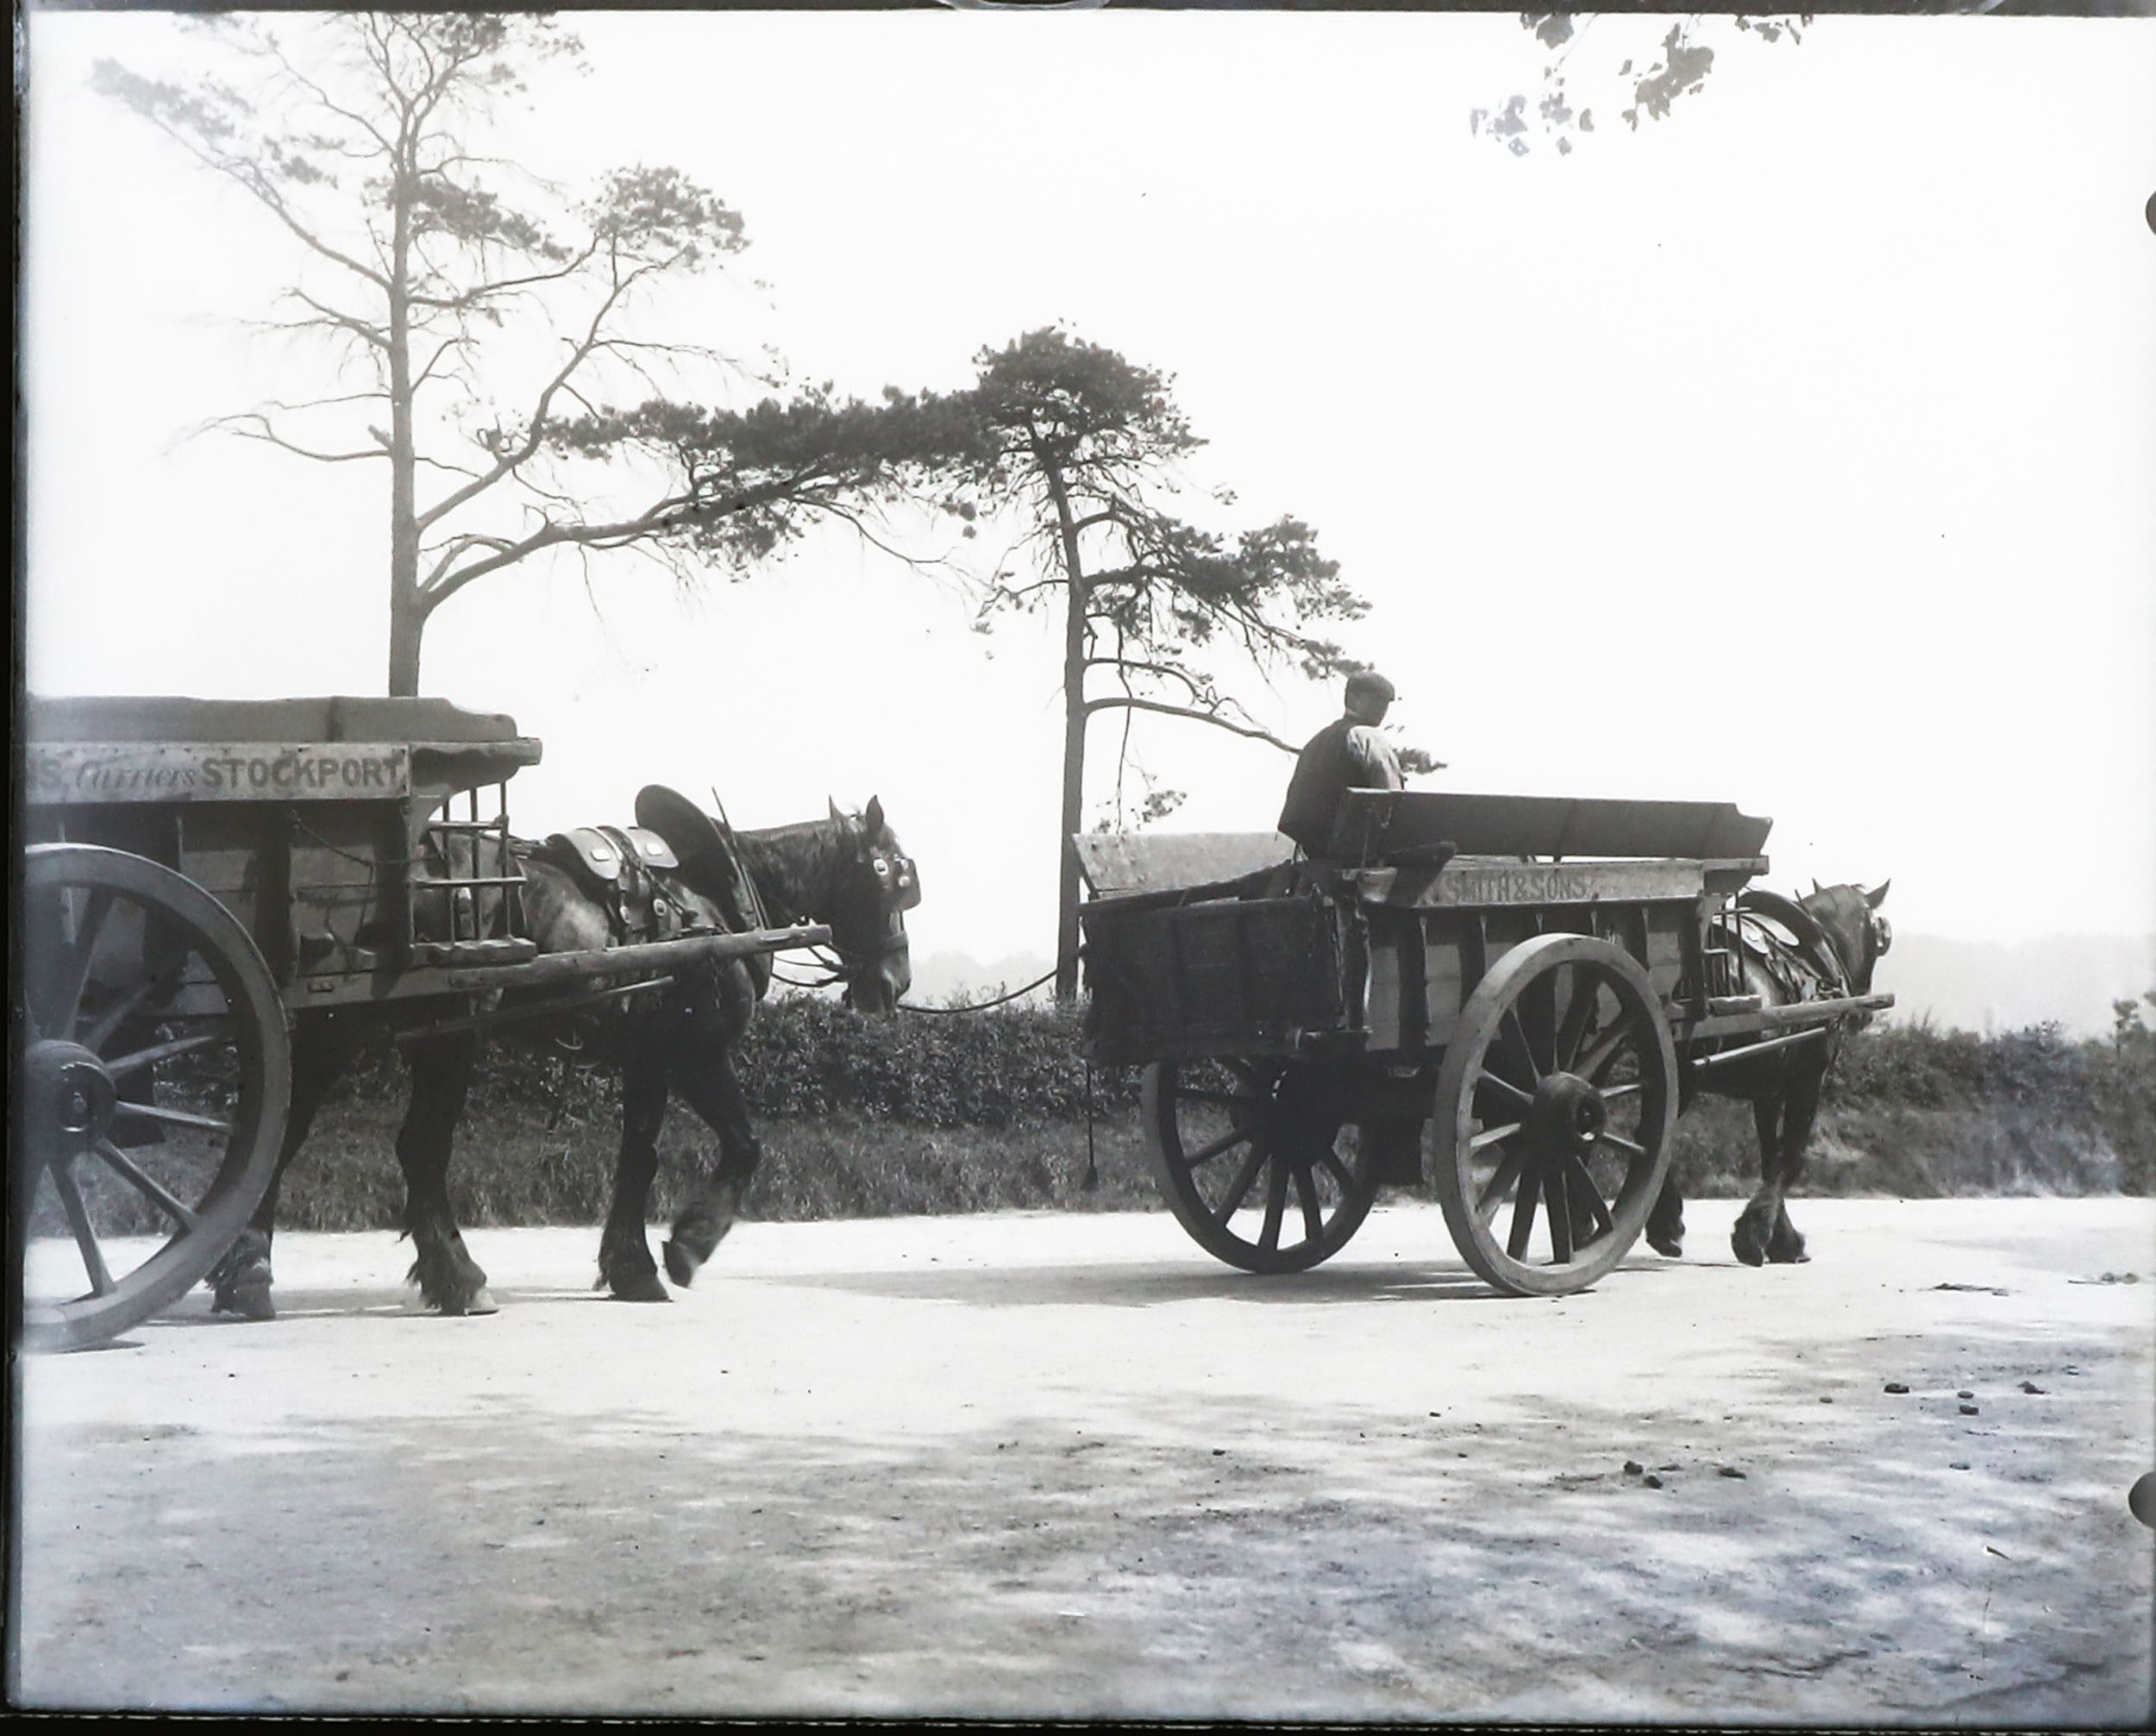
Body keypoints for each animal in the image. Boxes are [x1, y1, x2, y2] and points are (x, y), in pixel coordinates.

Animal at [216, 789, 918, 1311]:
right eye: (891, 878)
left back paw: (248, 1274)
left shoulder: (648, 1059)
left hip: (340, 1026)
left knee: (284, 1129)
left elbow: (639, 1157)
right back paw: (459, 1278)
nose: (895, 982)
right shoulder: (696, 1049)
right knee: (419, 1149)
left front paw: (630, 1266)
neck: (715, 899)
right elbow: (744, 1144)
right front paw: (687, 1246)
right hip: (450, 1035)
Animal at [1647, 880, 1889, 1259]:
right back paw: (1665, 1223)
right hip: (1681, 1073)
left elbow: (1769, 1155)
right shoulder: (1808, 1081)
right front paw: (1756, 1235)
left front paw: (1781, 1237)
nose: (1862, 1014)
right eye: (1880, 939)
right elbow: (1791, 1155)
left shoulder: (1769, 1089)